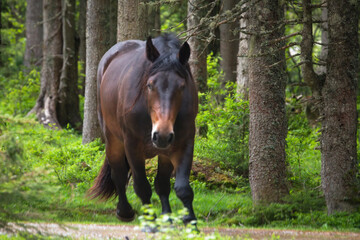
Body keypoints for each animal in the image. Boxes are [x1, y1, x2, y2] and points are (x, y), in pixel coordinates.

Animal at [88, 33, 198, 223]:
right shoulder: (132, 146)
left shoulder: (184, 144)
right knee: (118, 175)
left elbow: (182, 188)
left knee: (161, 184)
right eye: (150, 85)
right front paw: (149, 221)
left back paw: (166, 217)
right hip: (113, 140)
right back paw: (124, 211)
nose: (162, 135)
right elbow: (142, 187)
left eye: (182, 86)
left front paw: (188, 221)